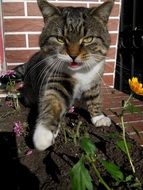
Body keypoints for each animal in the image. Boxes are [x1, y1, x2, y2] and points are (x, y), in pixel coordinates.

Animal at [14, 0, 114, 151]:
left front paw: (98, 117)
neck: (80, 72)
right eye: (60, 39)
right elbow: (53, 101)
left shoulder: (95, 78)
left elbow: (95, 97)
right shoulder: (56, 79)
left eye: (88, 39)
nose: (73, 55)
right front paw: (43, 135)